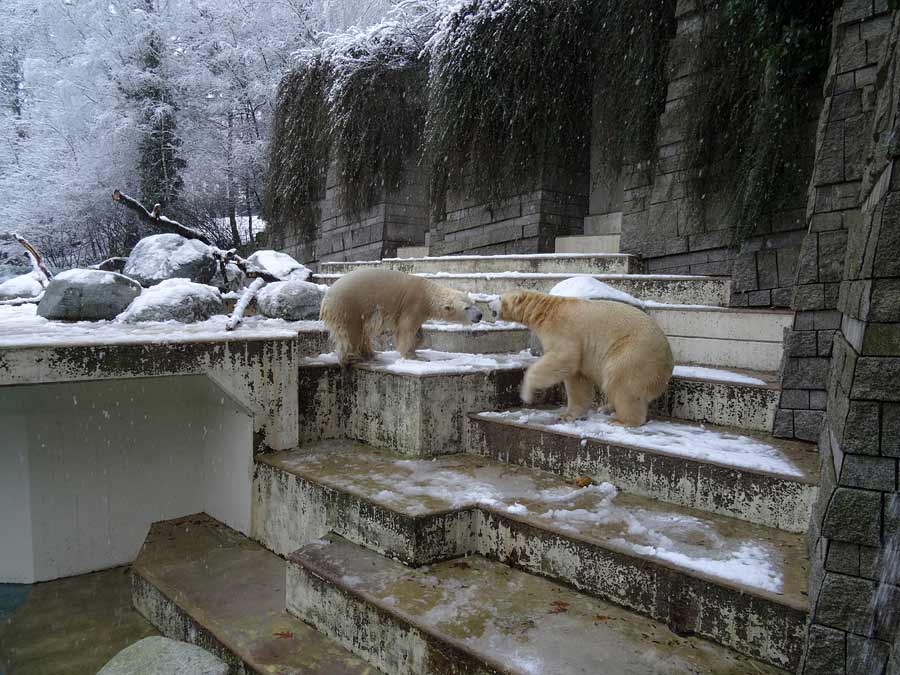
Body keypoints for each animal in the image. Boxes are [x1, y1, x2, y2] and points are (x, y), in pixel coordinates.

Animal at [320, 268, 482, 368]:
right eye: (466, 308)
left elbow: (418, 333)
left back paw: (370, 354)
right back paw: (354, 357)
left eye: (473, 303)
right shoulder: (413, 304)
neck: (428, 294)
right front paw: (413, 356)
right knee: (352, 332)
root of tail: (326, 299)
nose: (480, 315)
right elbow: (406, 330)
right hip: (349, 306)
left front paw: (417, 345)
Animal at [488, 290, 672, 428]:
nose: (488, 304)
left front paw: (526, 393)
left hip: (633, 353)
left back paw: (620, 420)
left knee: (620, 380)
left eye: (499, 297)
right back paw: (606, 408)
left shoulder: (563, 331)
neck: (545, 310)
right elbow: (577, 379)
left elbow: (563, 358)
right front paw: (567, 415)